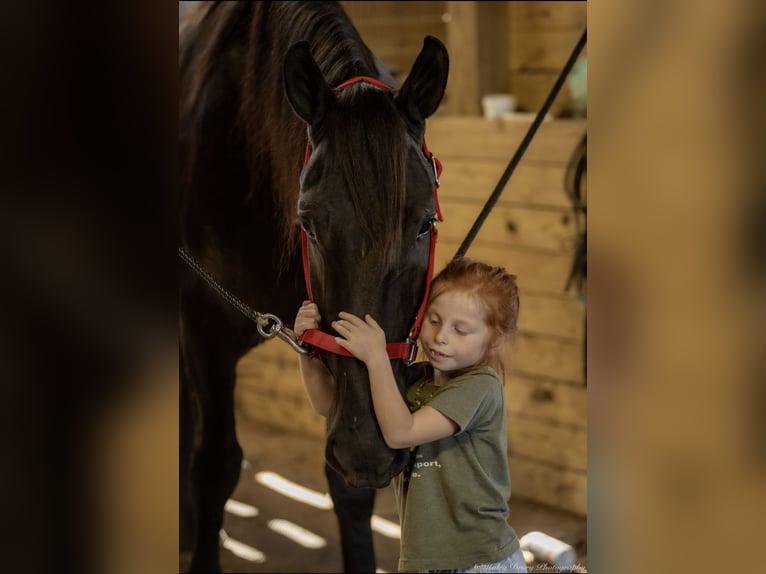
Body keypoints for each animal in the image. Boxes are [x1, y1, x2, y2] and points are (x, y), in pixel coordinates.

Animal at [178, 2, 449, 571]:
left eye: (424, 223)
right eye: (308, 223)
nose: (368, 447)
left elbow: (348, 491)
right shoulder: (202, 326)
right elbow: (215, 465)